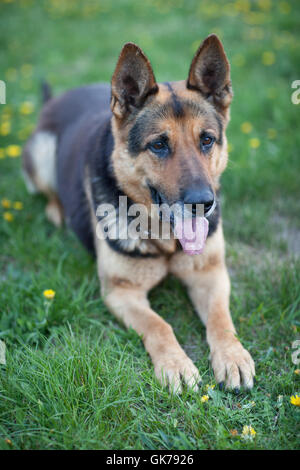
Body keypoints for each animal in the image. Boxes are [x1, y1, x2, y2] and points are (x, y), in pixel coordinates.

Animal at [22, 35, 254, 392]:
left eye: (207, 140)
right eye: (158, 145)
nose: (203, 202)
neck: (166, 242)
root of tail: (59, 97)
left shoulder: (211, 274)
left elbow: (220, 319)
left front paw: (232, 354)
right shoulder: (121, 292)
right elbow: (159, 324)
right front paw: (176, 364)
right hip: (42, 151)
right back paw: (55, 211)